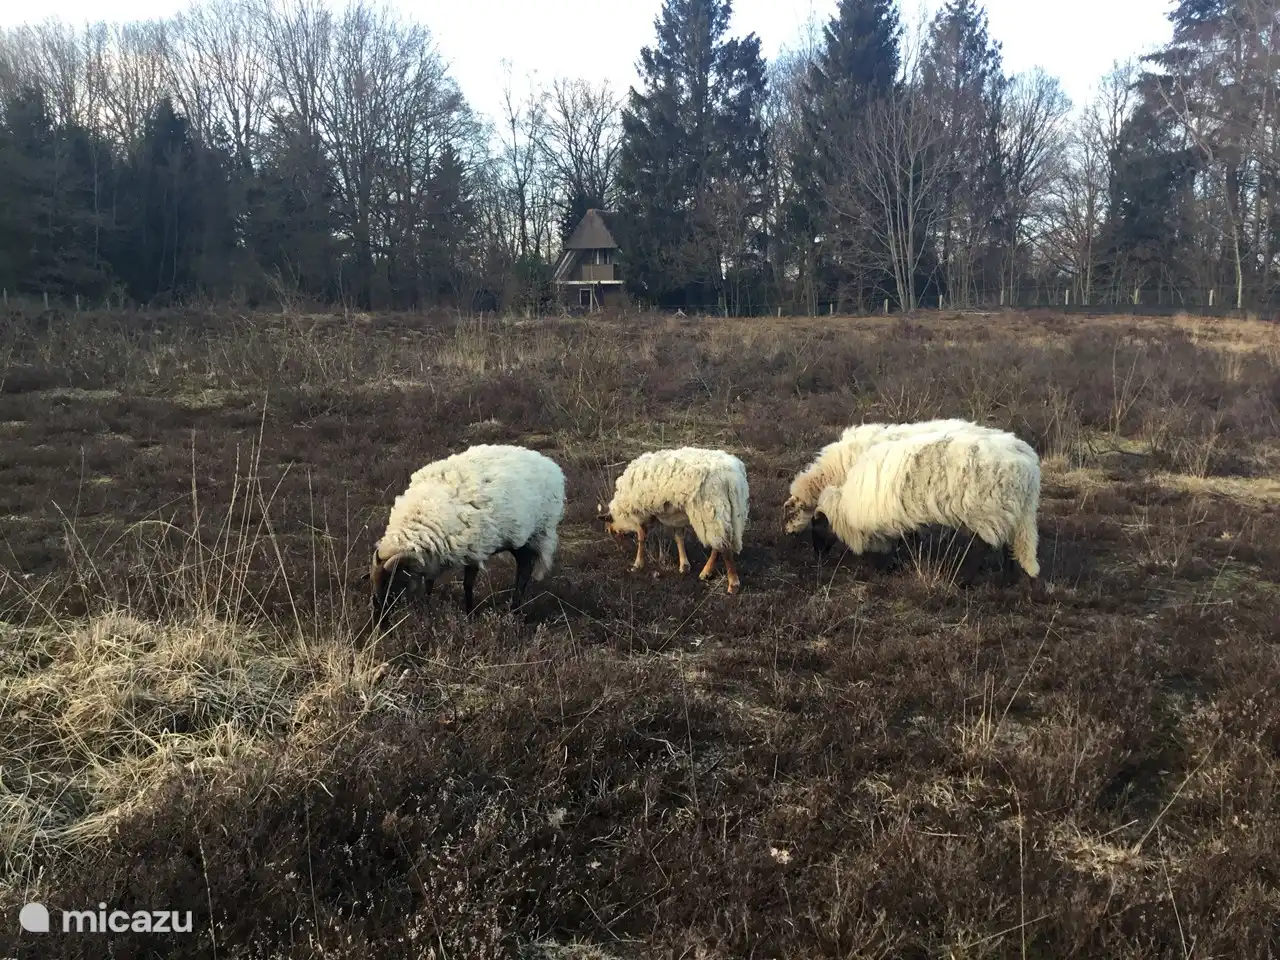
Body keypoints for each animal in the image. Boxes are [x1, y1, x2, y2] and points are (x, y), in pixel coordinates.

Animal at [367, 444, 565, 620]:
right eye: (373, 582)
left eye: (394, 582)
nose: (380, 621)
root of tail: (551, 465)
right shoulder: (433, 558)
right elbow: (429, 582)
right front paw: (427, 609)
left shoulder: (473, 551)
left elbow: (467, 585)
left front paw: (469, 615)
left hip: (534, 534)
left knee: (524, 569)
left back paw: (515, 610)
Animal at [596, 447, 749, 594]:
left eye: (610, 531)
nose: (621, 550)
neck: (622, 508)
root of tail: (732, 477)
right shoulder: (675, 516)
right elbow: (679, 538)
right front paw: (684, 565)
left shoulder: (640, 513)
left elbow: (641, 538)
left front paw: (637, 564)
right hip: (727, 513)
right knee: (719, 544)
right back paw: (706, 572)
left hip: (711, 509)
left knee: (725, 549)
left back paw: (733, 584)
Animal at [810, 427, 1041, 580]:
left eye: (817, 526)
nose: (817, 554)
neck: (845, 505)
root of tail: (1029, 465)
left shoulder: (888, 519)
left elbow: (895, 542)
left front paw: (886, 566)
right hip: (1012, 513)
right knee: (1011, 544)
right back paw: (1009, 578)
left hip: (989, 511)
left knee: (987, 545)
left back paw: (967, 580)